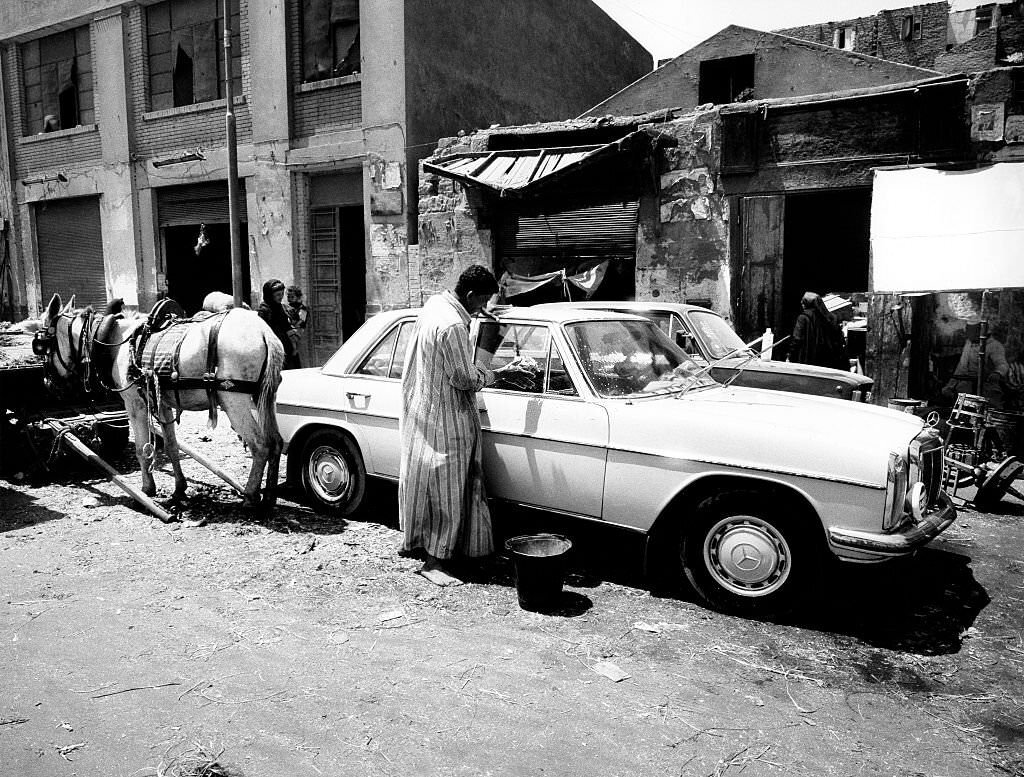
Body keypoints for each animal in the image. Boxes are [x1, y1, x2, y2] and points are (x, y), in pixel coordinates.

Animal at [36, 292, 284, 509]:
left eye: (42, 346)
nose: (48, 384)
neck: (118, 342)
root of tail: (264, 332)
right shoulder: (162, 404)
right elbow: (171, 445)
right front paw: (179, 488)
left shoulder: (135, 405)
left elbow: (141, 449)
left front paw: (147, 489)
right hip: (264, 397)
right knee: (276, 442)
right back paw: (269, 495)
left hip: (234, 401)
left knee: (260, 445)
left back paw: (251, 496)